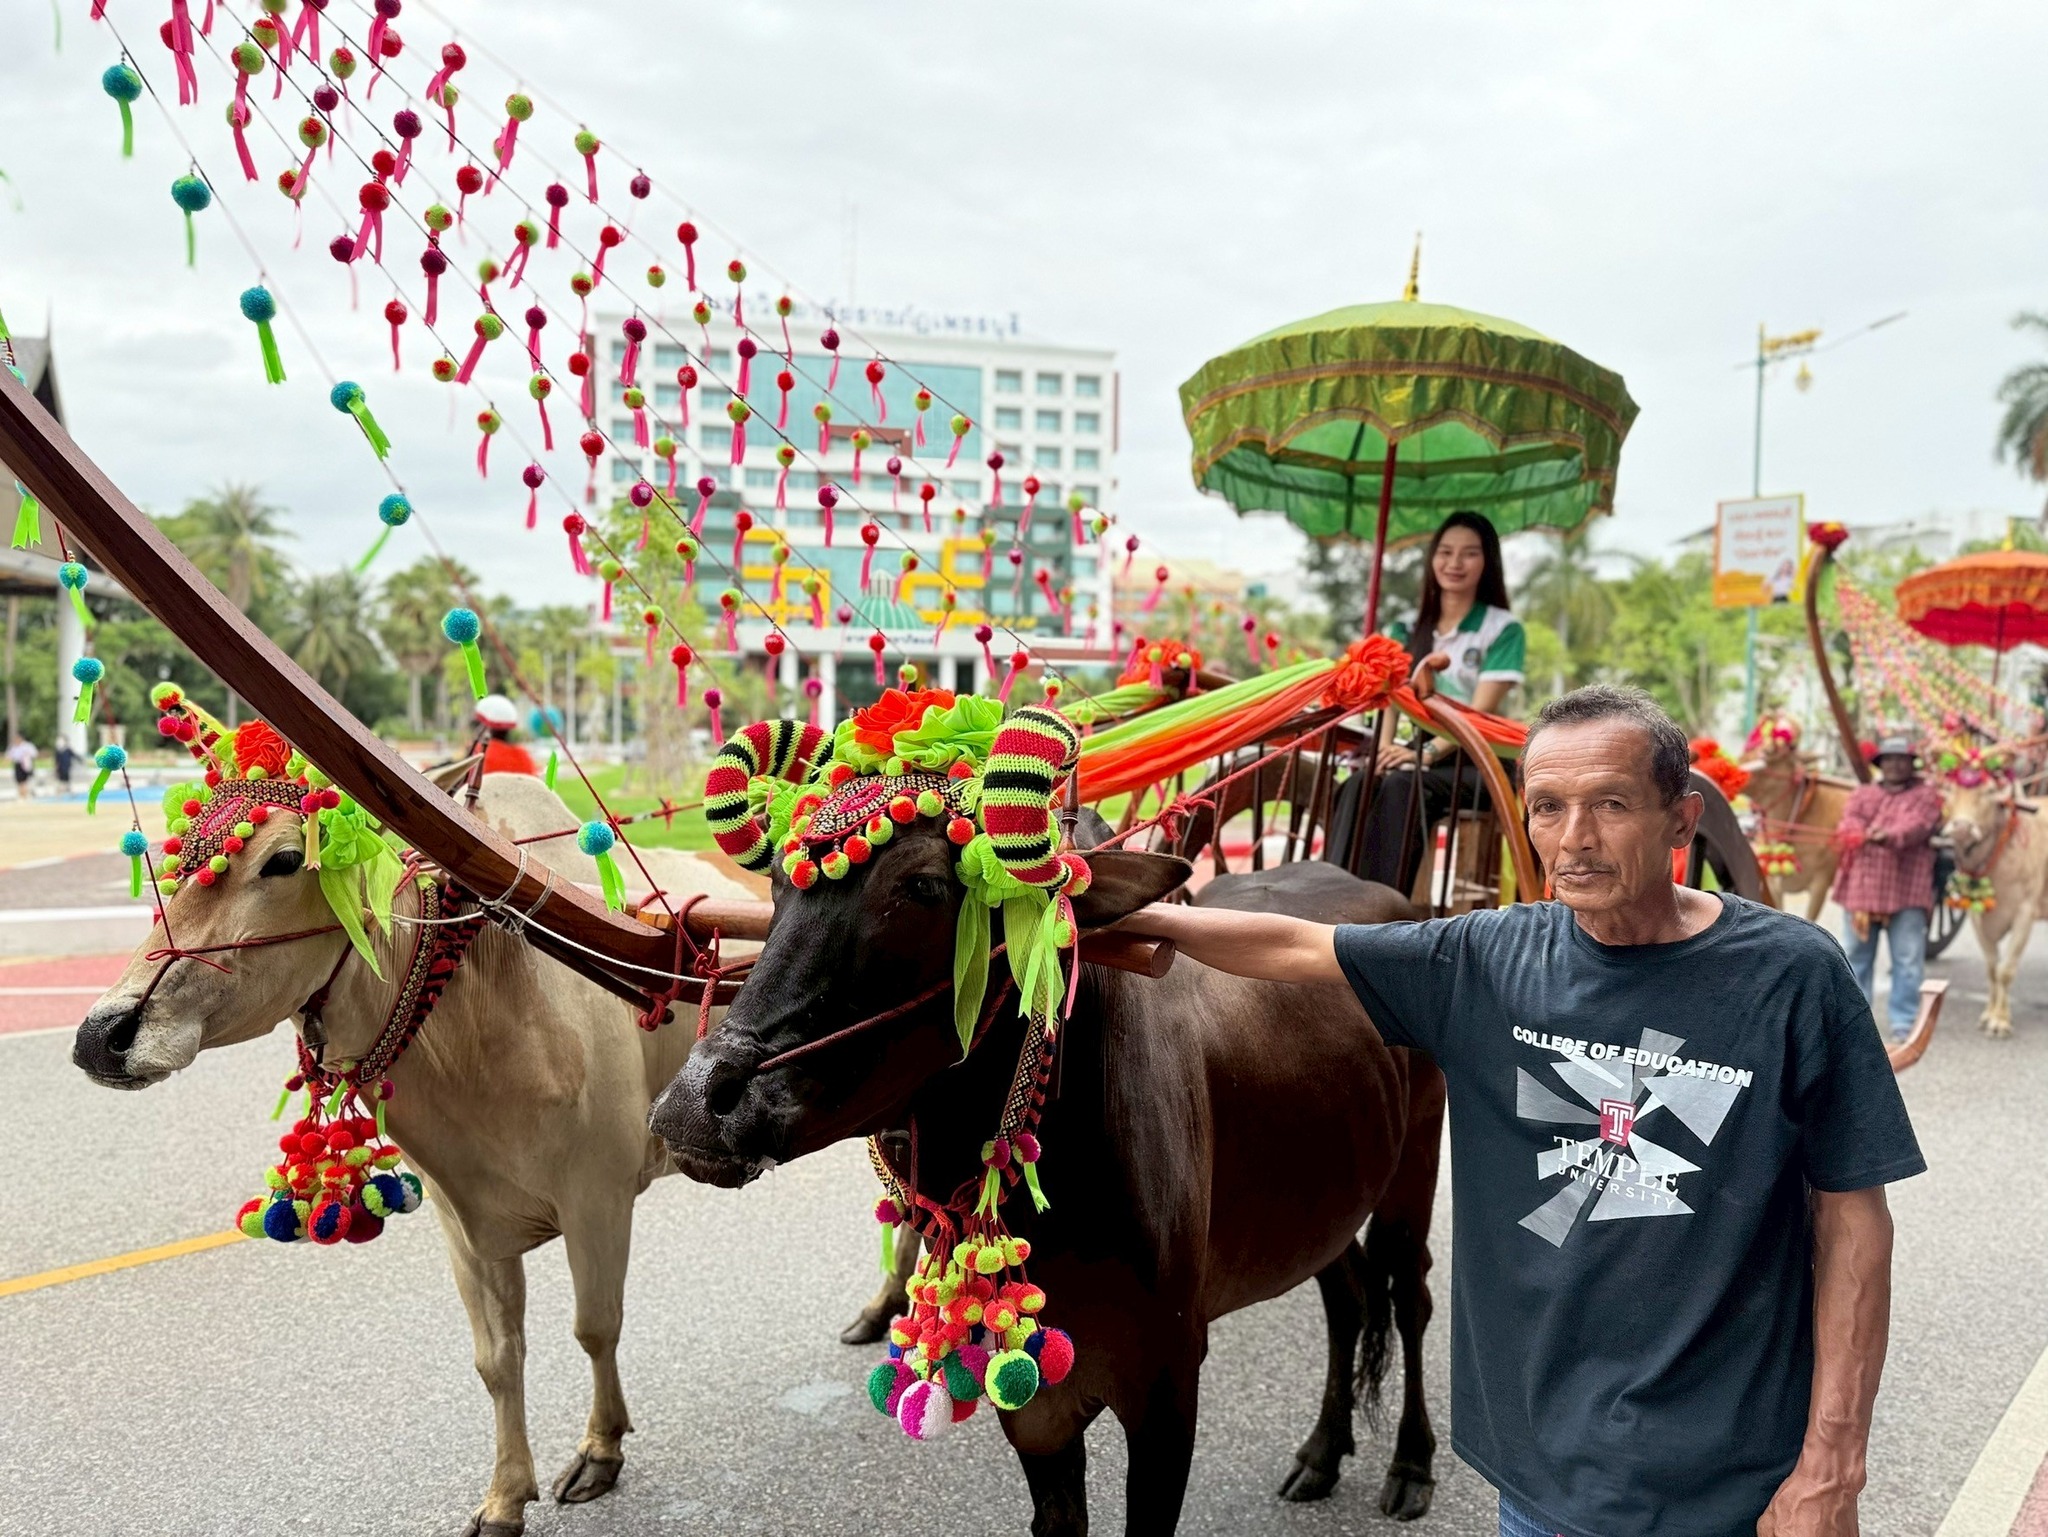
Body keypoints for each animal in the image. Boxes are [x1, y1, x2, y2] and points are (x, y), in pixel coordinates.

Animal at [71, 771, 756, 1537]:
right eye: (174, 862)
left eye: (284, 860)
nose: (102, 1036)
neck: (483, 1009)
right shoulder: (465, 1226)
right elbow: (497, 1359)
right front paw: (504, 1497)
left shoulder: (598, 1197)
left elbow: (595, 1327)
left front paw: (600, 1449)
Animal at [649, 816, 1444, 1535]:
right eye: (777, 885)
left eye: (923, 885)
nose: (695, 1102)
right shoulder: (1038, 1412)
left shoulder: (1168, 1384)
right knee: (1349, 1296)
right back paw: (1322, 1453)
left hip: (1415, 1168)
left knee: (1409, 1298)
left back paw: (1411, 1465)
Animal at [1943, 778, 2047, 1037]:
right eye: (1949, 789)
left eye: (1989, 791)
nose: (1961, 828)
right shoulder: (1977, 918)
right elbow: (1991, 969)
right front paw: (1989, 1014)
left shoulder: (2025, 913)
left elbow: (2006, 970)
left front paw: (2000, 1020)